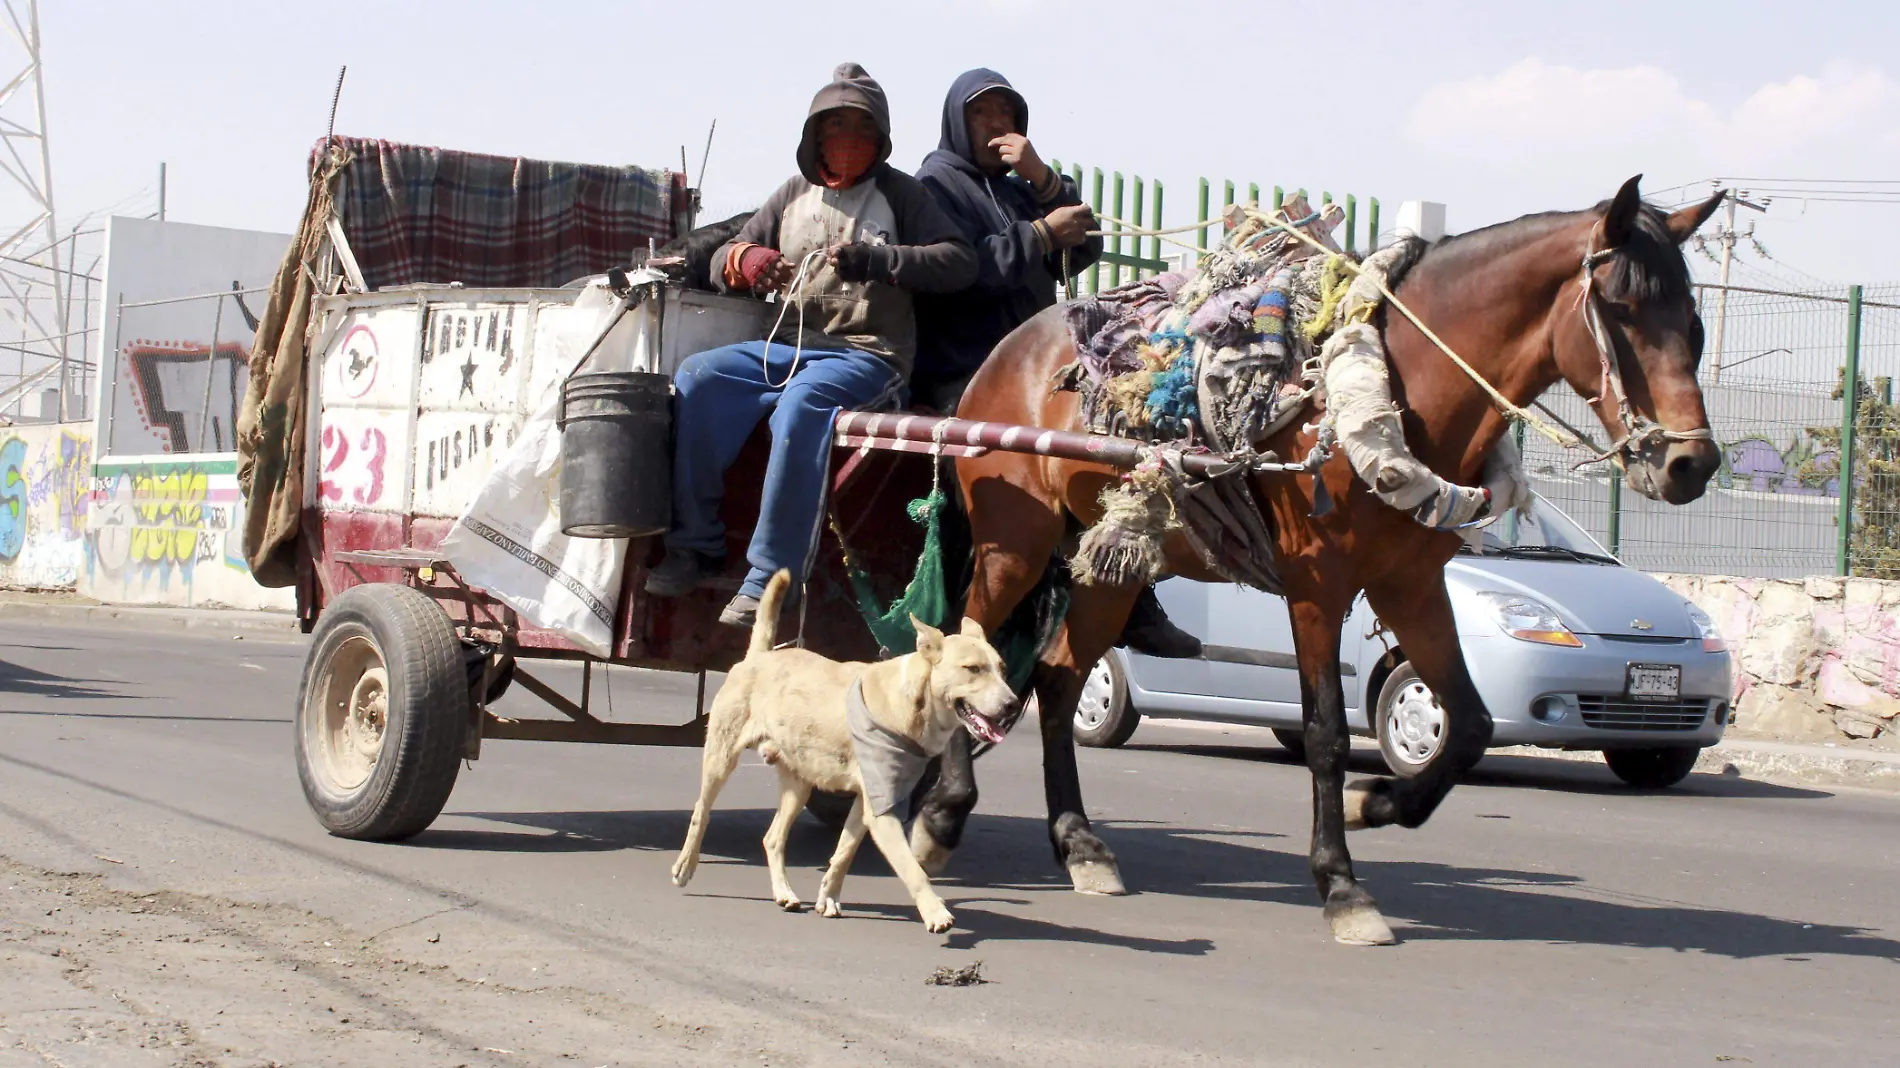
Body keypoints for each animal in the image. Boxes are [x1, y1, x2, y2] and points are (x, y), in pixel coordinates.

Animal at [672, 570, 1018, 927]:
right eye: (973, 669)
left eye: (1003, 670)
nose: (1013, 705)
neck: (909, 702)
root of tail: (760, 656)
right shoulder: (881, 812)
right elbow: (910, 867)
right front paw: (934, 910)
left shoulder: (869, 801)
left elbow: (844, 852)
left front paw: (829, 897)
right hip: (721, 759)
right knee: (701, 812)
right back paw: (686, 865)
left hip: (799, 784)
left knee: (773, 838)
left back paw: (784, 891)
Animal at [912, 174, 1732, 938]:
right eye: (1620, 308)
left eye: (1694, 321)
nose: (1691, 464)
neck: (1397, 382)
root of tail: (1010, 350)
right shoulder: (1318, 585)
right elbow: (1328, 734)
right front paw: (1342, 885)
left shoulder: (1410, 584)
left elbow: (1469, 724)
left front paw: (1384, 803)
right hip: (1015, 542)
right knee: (967, 646)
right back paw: (945, 814)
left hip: (1115, 557)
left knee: (1057, 679)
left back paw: (1078, 844)